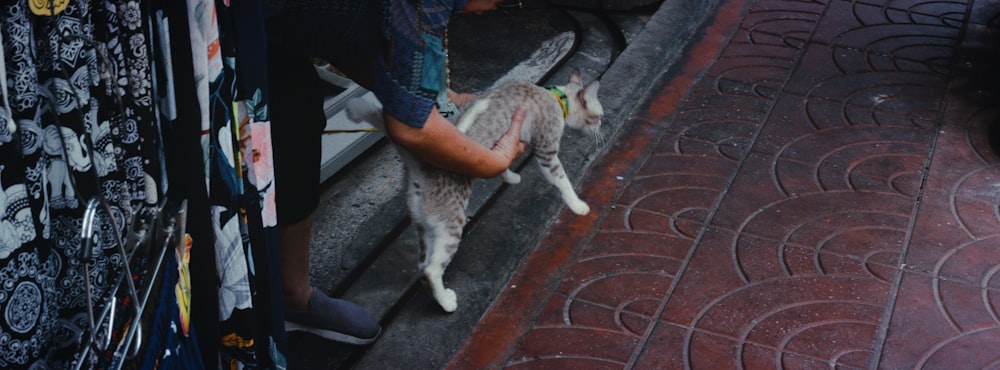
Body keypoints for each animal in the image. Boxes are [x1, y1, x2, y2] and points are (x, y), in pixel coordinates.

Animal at [348, 69, 604, 312]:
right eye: (600, 116)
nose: (601, 126)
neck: (556, 96)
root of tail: (421, 165)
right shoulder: (547, 152)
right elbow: (563, 181)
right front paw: (578, 205)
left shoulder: (501, 148)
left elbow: (500, 163)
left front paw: (510, 177)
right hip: (451, 226)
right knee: (431, 269)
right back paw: (446, 303)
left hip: (425, 225)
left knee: (422, 266)